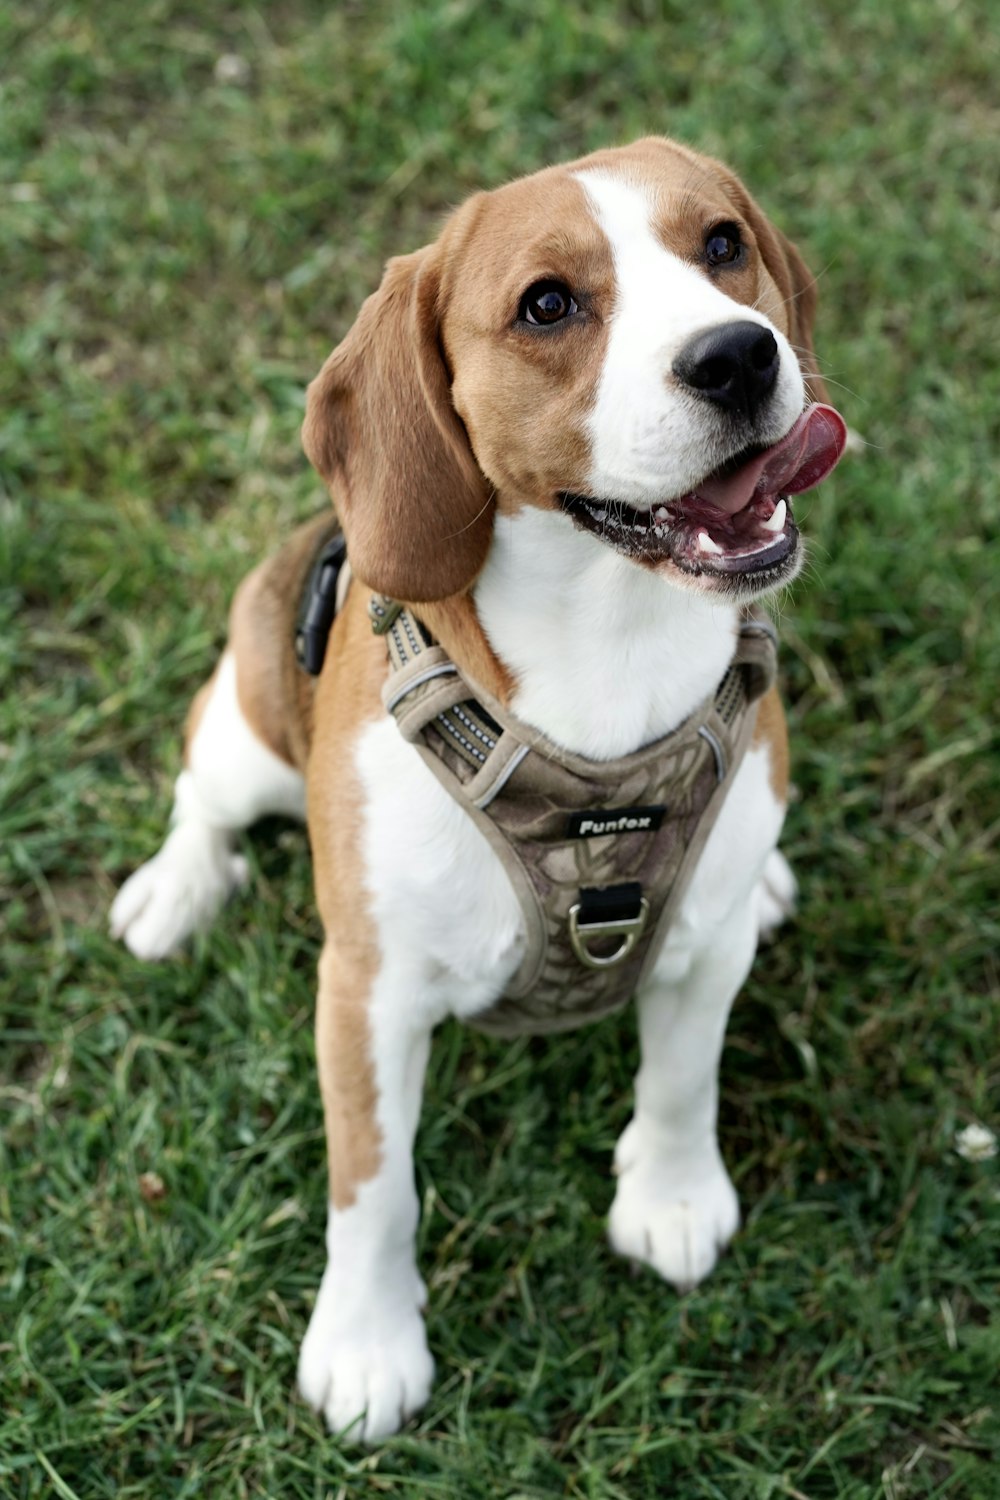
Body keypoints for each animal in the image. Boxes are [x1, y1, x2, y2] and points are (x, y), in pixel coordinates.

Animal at [111, 141, 845, 1440]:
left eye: (720, 243)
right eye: (546, 306)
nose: (740, 354)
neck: (610, 657)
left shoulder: (700, 962)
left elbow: (681, 1077)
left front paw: (669, 1198)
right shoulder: (366, 995)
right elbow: (374, 1187)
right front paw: (365, 1348)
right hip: (244, 729)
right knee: (203, 797)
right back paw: (175, 890)